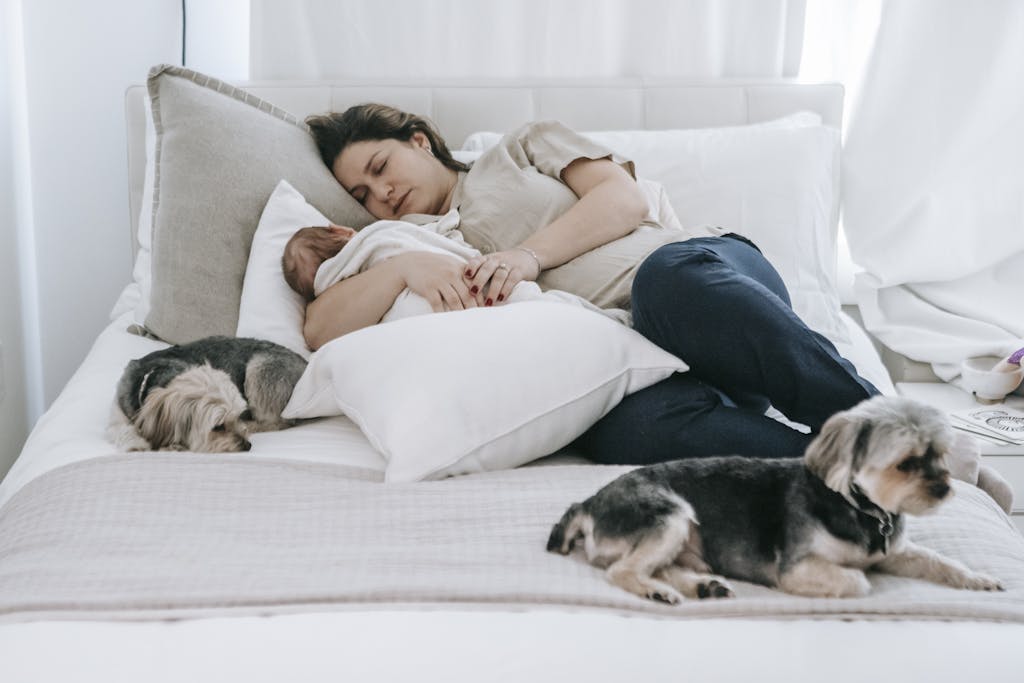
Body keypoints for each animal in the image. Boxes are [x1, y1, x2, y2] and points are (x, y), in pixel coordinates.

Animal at [109, 335, 307, 454]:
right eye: (218, 426)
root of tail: (304, 362)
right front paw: (136, 444)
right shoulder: (117, 408)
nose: (247, 446)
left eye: (237, 415)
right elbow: (121, 428)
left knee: (279, 422)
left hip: (259, 371)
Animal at [548, 395, 1003, 602]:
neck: (860, 507)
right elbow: (859, 580)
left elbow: (938, 561)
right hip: (669, 515)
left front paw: (978, 579)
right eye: (906, 464)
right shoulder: (797, 568)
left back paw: (703, 586)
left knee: (663, 566)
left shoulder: (895, 551)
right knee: (621, 570)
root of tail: (587, 503)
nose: (945, 488)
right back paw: (659, 592)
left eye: (941, 454)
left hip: (685, 538)